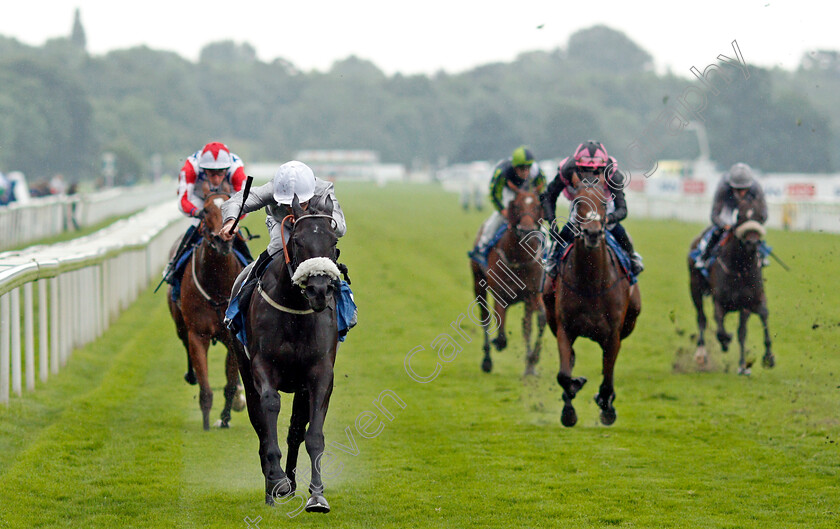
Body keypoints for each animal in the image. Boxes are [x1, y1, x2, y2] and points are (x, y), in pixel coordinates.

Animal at [167, 191, 246, 428]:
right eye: (206, 211)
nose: (223, 239)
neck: (217, 286)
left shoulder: (231, 337)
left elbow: (230, 384)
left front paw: (226, 417)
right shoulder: (198, 334)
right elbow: (205, 388)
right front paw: (205, 424)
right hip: (180, 324)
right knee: (185, 344)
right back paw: (191, 375)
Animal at [231, 195, 340, 512]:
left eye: (333, 241)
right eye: (299, 241)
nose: (319, 289)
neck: (295, 310)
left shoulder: (319, 373)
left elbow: (312, 434)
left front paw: (317, 495)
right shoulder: (262, 366)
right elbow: (269, 408)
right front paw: (276, 479)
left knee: (295, 429)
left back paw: (291, 484)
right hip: (243, 366)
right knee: (259, 421)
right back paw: (273, 486)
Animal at [470, 188, 548, 374]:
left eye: (537, 206)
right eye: (517, 205)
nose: (526, 230)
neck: (519, 257)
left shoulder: (533, 293)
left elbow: (538, 321)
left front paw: (532, 360)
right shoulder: (500, 293)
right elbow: (500, 327)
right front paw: (498, 343)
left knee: (527, 324)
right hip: (478, 284)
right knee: (485, 318)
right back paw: (487, 360)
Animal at [540, 179, 640, 426]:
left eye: (604, 202)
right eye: (578, 202)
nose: (592, 233)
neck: (591, 283)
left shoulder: (613, 334)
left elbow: (607, 378)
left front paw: (607, 408)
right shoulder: (565, 328)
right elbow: (564, 375)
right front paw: (570, 404)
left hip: (632, 318)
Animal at [688, 195, 776, 376]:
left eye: (759, 217)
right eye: (739, 216)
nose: (752, 243)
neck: (740, 268)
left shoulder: (748, 302)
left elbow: (743, 331)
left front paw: (746, 364)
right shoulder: (719, 301)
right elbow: (720, 326)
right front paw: (725, 341)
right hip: (695, 288)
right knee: (702, 318)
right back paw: (701, 354)